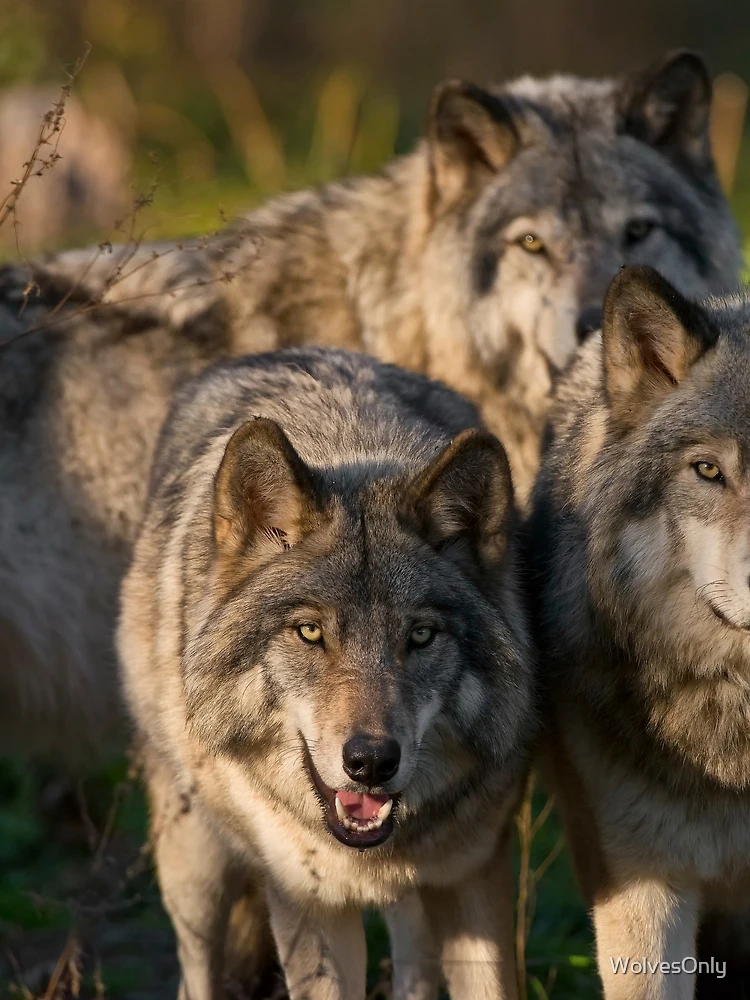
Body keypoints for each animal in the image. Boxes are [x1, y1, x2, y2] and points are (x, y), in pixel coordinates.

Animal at [116, 347, 534, 1000]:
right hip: (194, 865)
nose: (371, 762)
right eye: (310, 632)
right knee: (195, 969)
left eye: (421, 636)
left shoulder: (474, 874)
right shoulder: (305, 903)